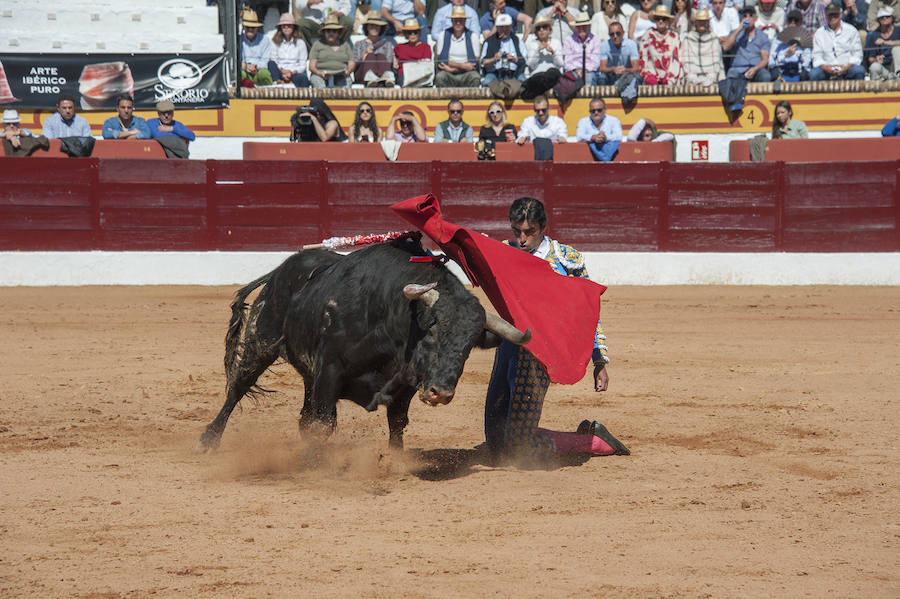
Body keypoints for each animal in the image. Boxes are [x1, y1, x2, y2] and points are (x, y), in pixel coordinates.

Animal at [200, 238, 532, 450]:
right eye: (433, 331)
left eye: (469, 346)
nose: (440, 393)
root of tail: (282, 269)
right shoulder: (330, 370)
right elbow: (325, 423)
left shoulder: (405, 384)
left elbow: (397, 423)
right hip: (262, 340)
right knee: (239, 386)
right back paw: (209, 439)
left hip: (307, 369)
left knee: (304, 414)